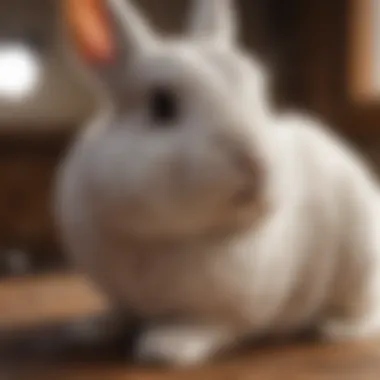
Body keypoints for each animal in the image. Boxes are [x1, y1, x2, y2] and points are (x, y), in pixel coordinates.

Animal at [54, 0, 380, 368]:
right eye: (162, 105)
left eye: (257, 94)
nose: (257, 162)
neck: (162, 238)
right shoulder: (120, 295)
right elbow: (122, 313)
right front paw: (88, 329)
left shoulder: (229, 309)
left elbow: (208, 324)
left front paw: (165, 347)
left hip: (360, 271)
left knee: (368, 314)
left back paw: (336, 329)